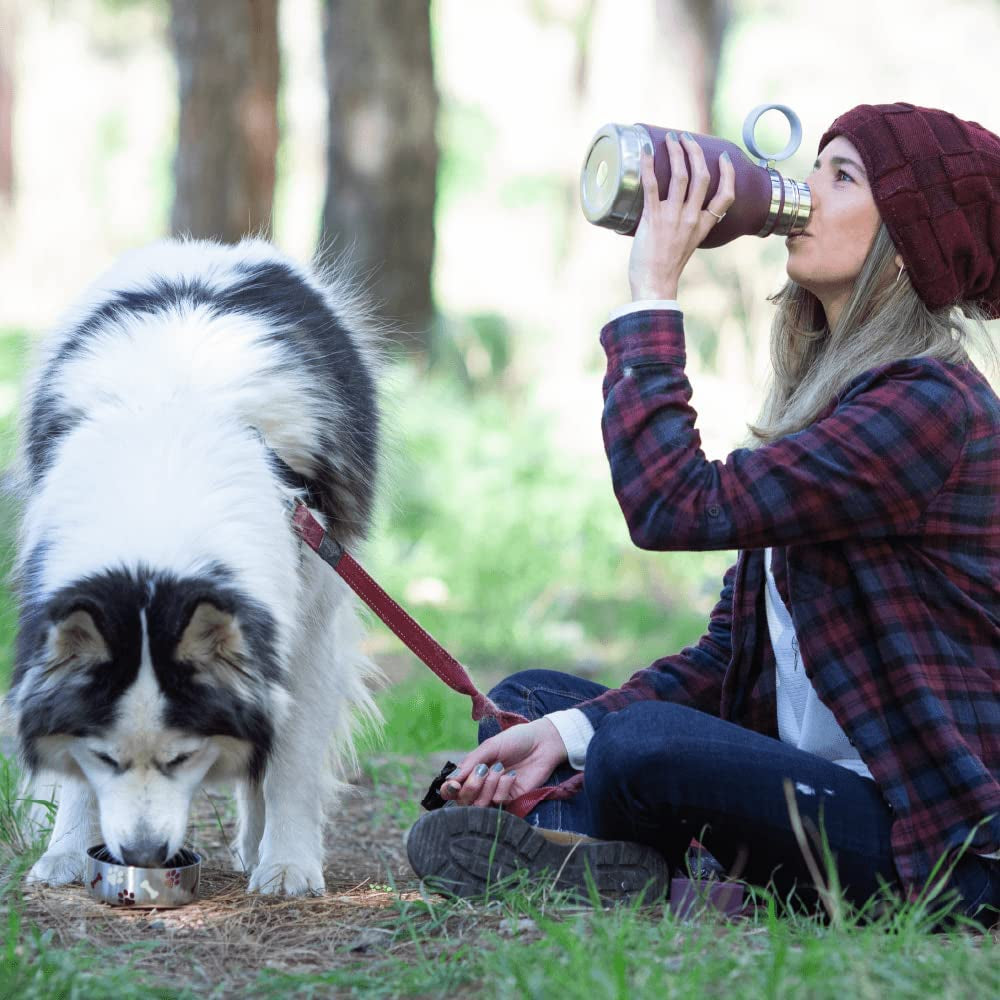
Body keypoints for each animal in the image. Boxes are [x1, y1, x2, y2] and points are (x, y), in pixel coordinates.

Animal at [1, 238, 384, 896]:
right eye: (106, 757)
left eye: (181, 757)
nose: (143, 854)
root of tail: (214, 247)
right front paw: (68, 852)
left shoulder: (307, 625)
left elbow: (290, 760)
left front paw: (288, 864)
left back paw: (258, 849)